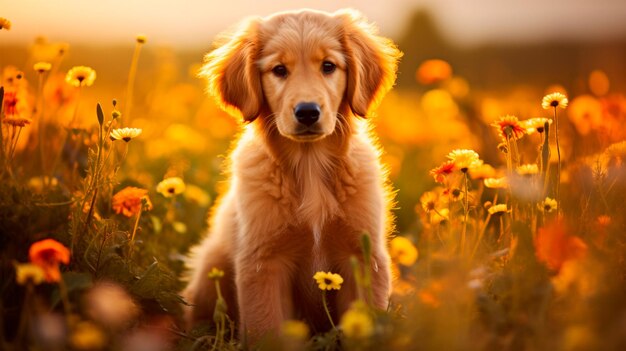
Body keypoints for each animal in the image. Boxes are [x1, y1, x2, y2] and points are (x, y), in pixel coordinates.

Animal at [182, 7, 400, 344]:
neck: (309, 167)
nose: (307, 112)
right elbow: (267, 328)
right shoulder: (263, 262)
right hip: (211, 265)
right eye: (279, 70)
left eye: (328, 66)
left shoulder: (364, 256)